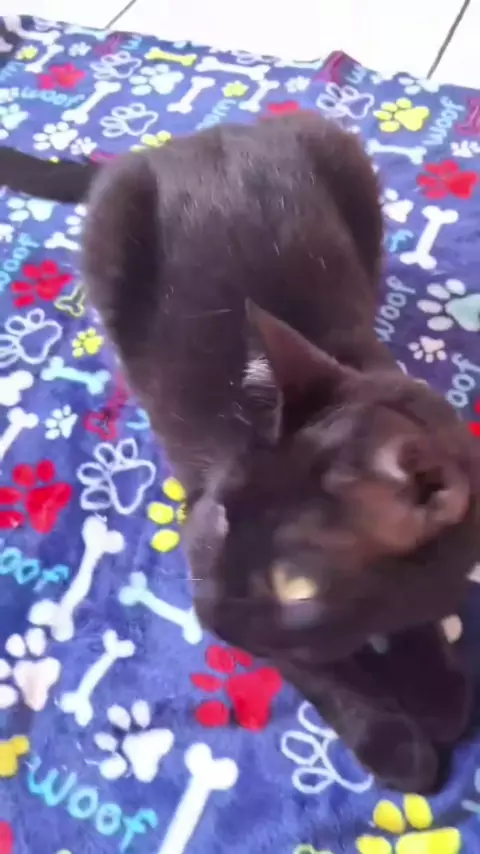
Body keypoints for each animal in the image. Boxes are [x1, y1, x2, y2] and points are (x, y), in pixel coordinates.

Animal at [1, 112, 479, 792]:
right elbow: (319, 670)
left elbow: (423, 632)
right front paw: (392, 738)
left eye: (296, 585)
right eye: (223, 518)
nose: (212, 615)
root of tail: (187, 141)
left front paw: (435, 682)